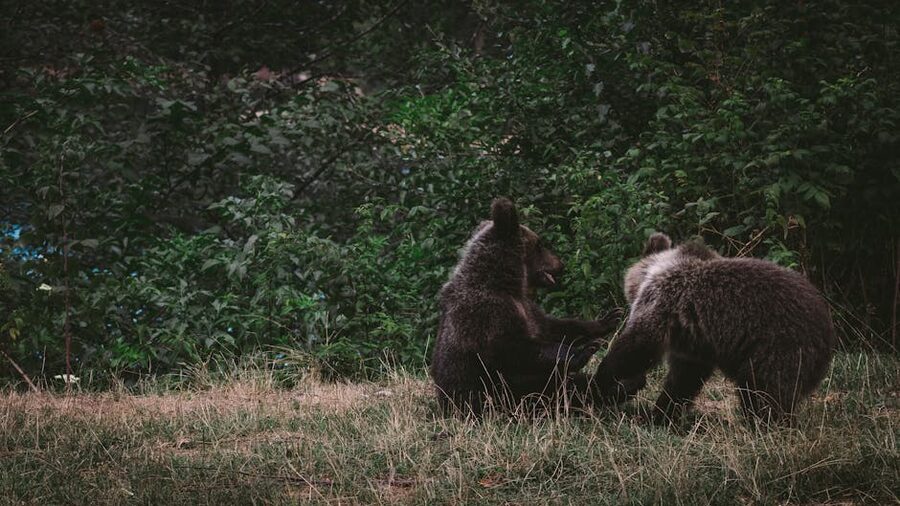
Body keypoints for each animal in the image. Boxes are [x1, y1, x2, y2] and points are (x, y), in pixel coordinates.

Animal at [430, 197, 622, 416]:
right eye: (539, 244)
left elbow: (555, 327)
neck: (505, 284)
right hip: (497, 399)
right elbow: (515, 351)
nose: (561, 265)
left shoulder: (528, 309)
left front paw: (609, 319)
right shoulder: (485, 315)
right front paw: (584, 350)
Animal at [594, 233, 835, 425]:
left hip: (778, 344)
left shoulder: (665, 300)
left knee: (763, 390)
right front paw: (661, 413)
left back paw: (763, 423)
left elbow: (637, 346)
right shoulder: (694, 343)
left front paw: (601, 379)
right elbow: (684, 378)